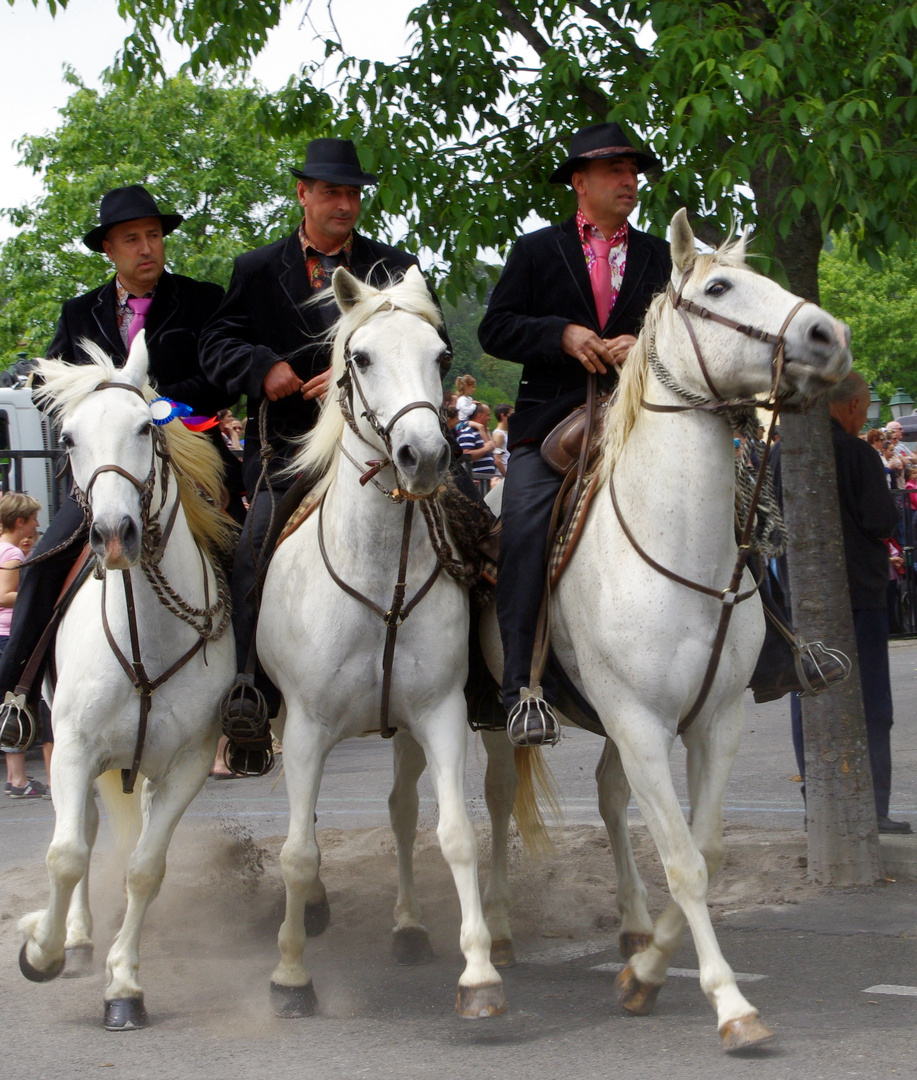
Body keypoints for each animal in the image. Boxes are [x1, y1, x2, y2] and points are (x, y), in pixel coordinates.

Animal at [17, 336, 236, 1028]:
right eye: (69, 438)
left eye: (146, 428)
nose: (114, 536)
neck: (147, 636)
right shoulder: (74, 749)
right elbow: (65, 854)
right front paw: (44, 951)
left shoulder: (188, 763)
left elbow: (145, 867)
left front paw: (124, 985)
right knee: (82, 833)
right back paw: (77, 937)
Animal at [253, 263, 505, 1019]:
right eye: (360, 358)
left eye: (441, 357)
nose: (423, 456)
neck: (377, 583)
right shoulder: (306, 727)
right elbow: (297, 852)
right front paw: (290, 976)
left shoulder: (440, 713)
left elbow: (453, 835)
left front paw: (479, 974)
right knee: (301, 825)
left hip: (404, 729)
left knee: (399, 811)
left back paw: (409, 927)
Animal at [479, 208, 851, 1045]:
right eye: (716, 288)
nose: (828, 336)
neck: (674, 542)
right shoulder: (641, 721)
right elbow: (682, 859)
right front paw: (730, 1005)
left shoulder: (711, 720)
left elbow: (702, 848)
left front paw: (646, 970)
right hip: (492, 714)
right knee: (496, 797)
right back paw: (501, 933)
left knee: (610, 798)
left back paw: (630, 925)